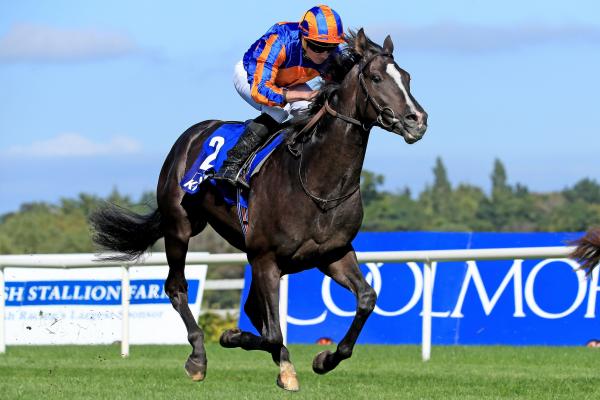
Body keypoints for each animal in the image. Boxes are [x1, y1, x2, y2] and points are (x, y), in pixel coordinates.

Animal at [90, 30, 426, 390]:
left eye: (407, 78)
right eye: (376, 78)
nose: (417, 120)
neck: (317, 181)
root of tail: (192, 134)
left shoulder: (332, 253)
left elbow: (365, 299)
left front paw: (323, 359)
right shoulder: (265, 257)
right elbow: (273, 332)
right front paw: (230, 337)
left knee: (254, 309)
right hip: (180, 227)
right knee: (177, 287)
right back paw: (198, 357)